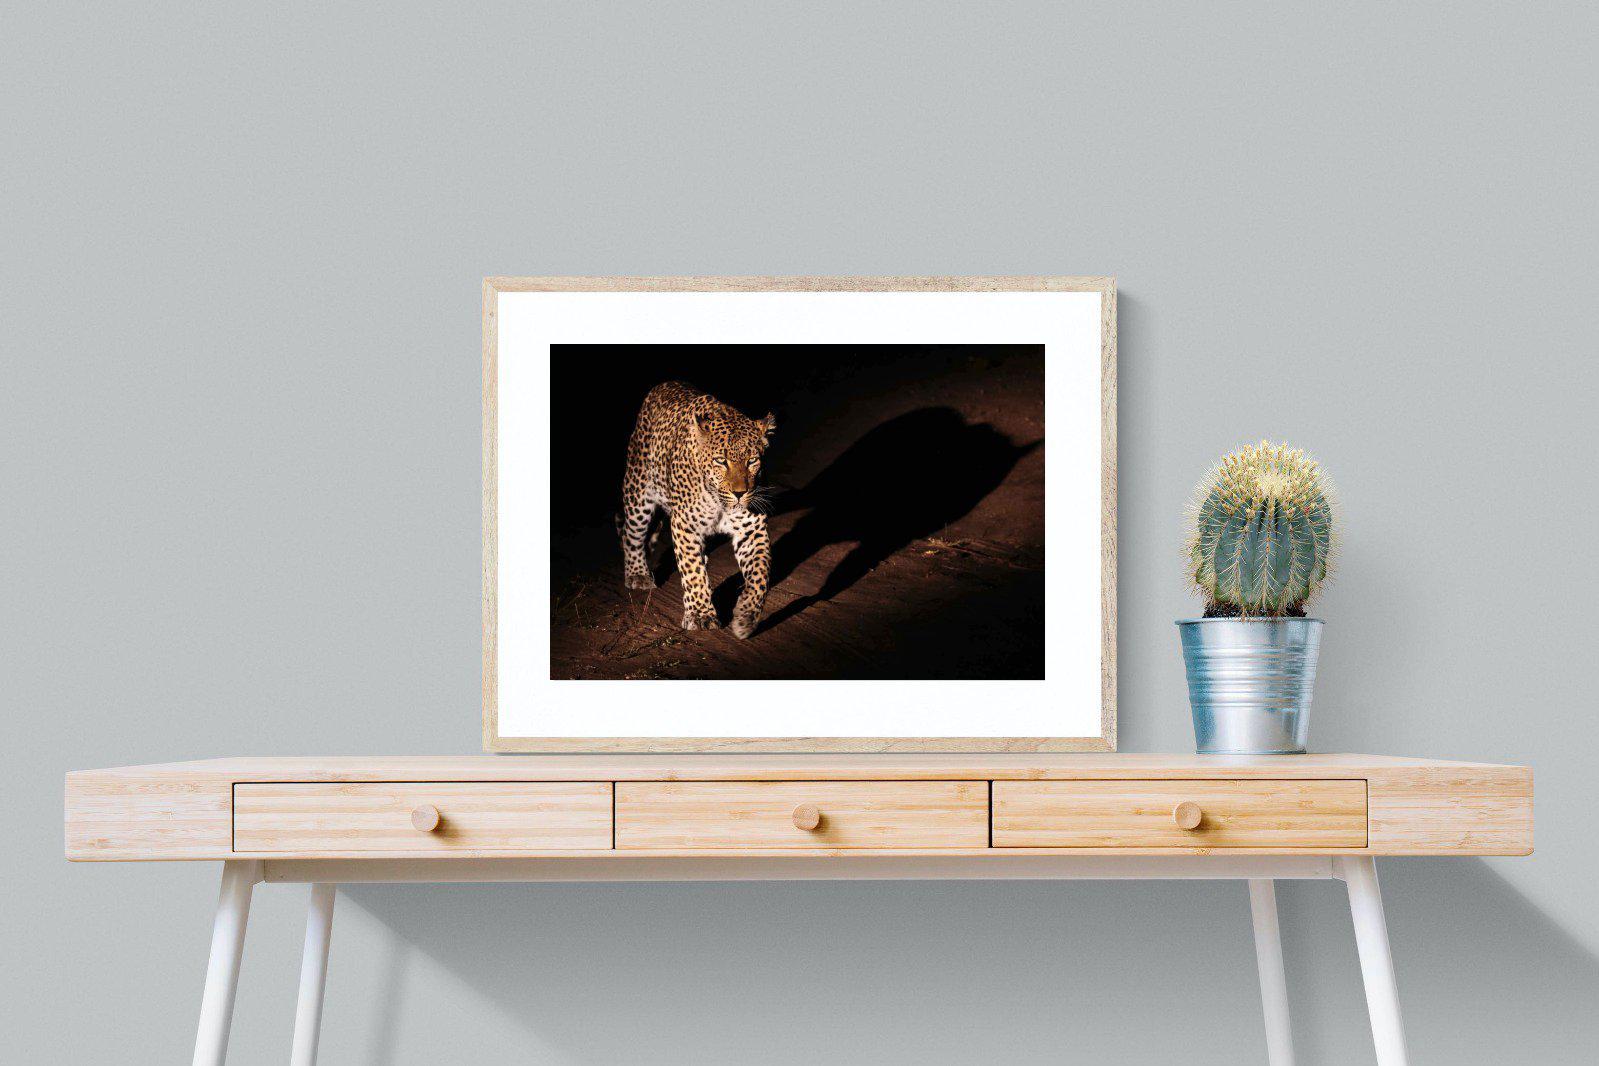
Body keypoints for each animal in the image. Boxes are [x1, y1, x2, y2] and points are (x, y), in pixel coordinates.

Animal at [619, 381, 778, 639]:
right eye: (721, 461)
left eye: (752, 461)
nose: (740, 493)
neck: (718, 501)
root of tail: (664, 385)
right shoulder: (685, 525)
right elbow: (692, 572)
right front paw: (701, 615)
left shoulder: (751, 529)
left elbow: (760, 574)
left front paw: (745, 616)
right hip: (638, 494)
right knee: (631, 535)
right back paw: (637, 575)